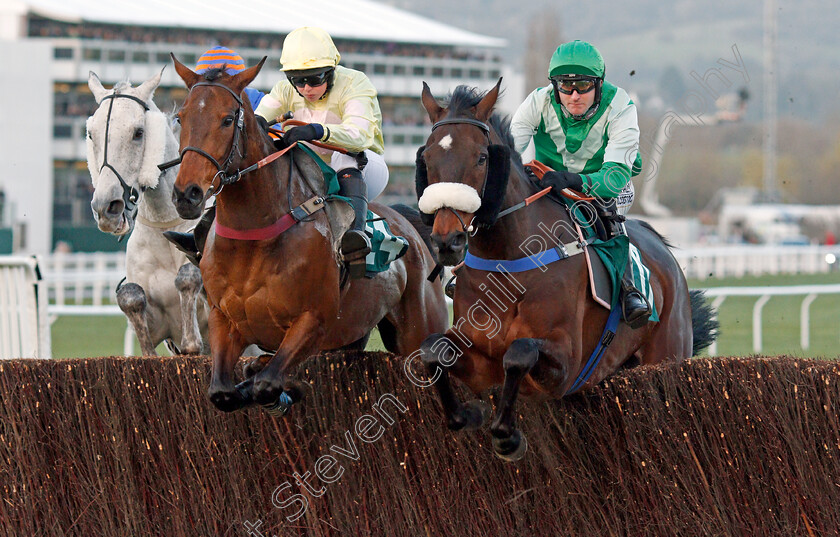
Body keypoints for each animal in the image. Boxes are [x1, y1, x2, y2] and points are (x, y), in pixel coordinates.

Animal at [86, 71, 208, 356]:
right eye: (91, 134)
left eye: (138, 133)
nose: (106, 207)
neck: (164, 226)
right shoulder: (160, 327)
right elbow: (129, 296)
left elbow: (190, 276)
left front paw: (192, 341)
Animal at [167, 55, 450, 410]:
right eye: (181, 117)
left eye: (228, 119)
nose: (187, 194)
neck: (254, 234)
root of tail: (409, 225)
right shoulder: (224, 319)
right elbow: (223, 393)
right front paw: (254, 375)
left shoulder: (314, 322)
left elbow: (267, 385)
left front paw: (279, 387)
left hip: (419, 329)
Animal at [414, 79, 716, 460]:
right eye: (427, 158)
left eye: (481, 158)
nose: (446, 241)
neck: (507, 260)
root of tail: (666, 253)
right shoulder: (480, 356)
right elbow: (432, 348)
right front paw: (466, 414)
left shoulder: (566, 364)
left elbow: (519, 354)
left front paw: (507, 436)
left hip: (666, 354)